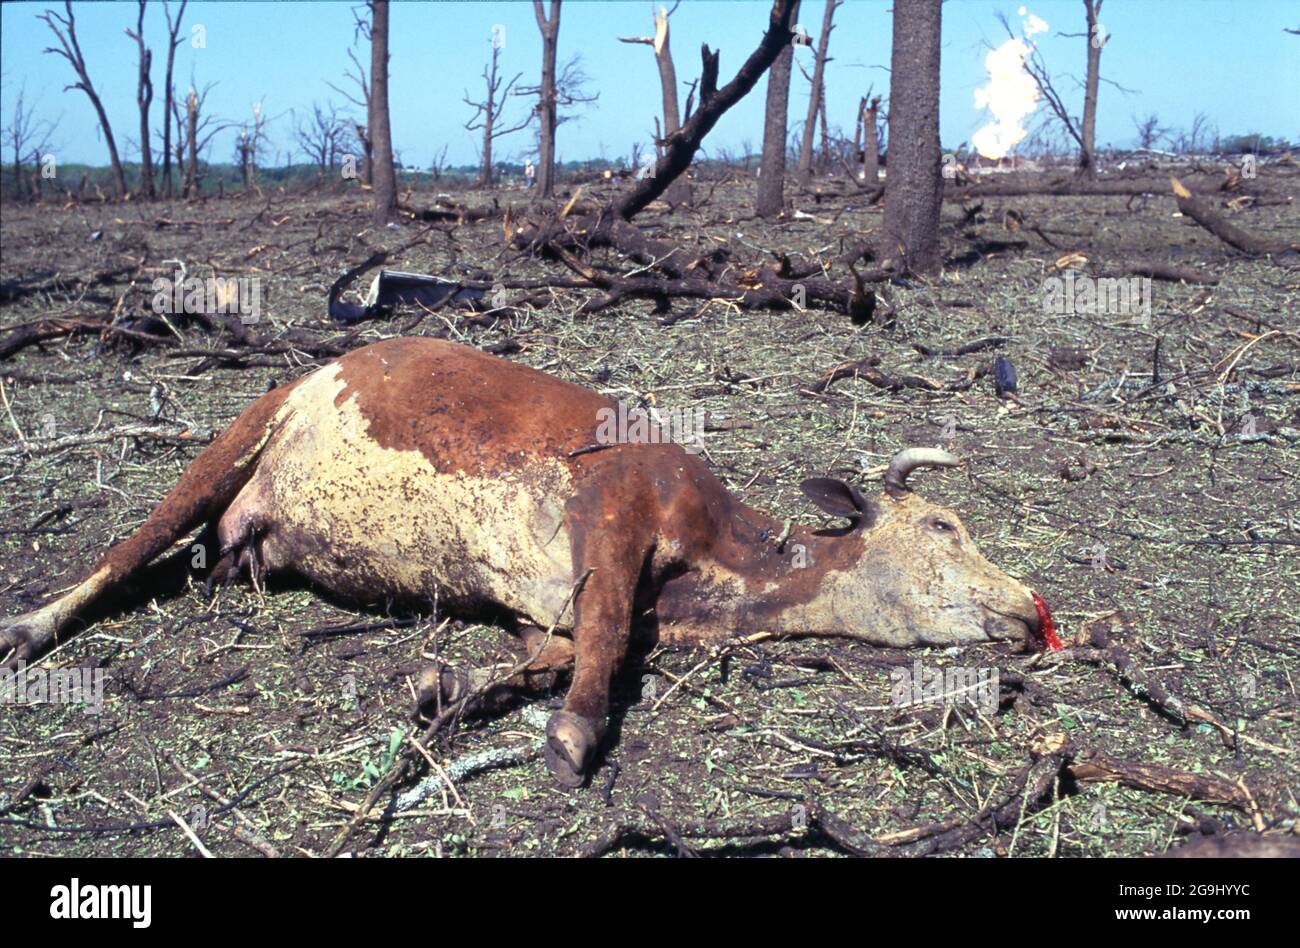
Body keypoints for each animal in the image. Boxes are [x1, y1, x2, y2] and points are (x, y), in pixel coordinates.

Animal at [1, 338, 1046, 786]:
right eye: (944, 526)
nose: (1034, 610)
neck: (717, 571)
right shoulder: (613, 508)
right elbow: (606, 641)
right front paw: (573, 733)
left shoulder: (554, 604)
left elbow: (562, 646)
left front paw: (452, 687)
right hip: (237, 435)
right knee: (122, 550)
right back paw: (29, 627)